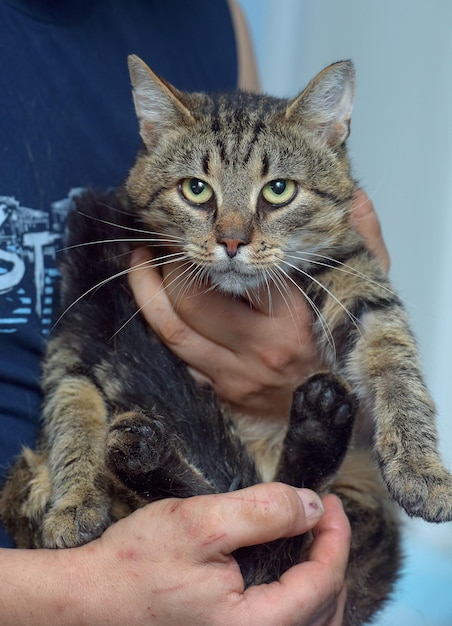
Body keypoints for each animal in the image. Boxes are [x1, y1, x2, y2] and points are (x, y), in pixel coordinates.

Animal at [1, 56, 450, 620]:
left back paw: (314, 426)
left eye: (279, 190)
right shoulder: (77, 331)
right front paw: (75, 501)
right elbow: (71, 414)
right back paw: (147, 454)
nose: (232, 241)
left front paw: (421, 469)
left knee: (280, 531)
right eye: (196, 189)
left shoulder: (356, 279)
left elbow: (395, 363)